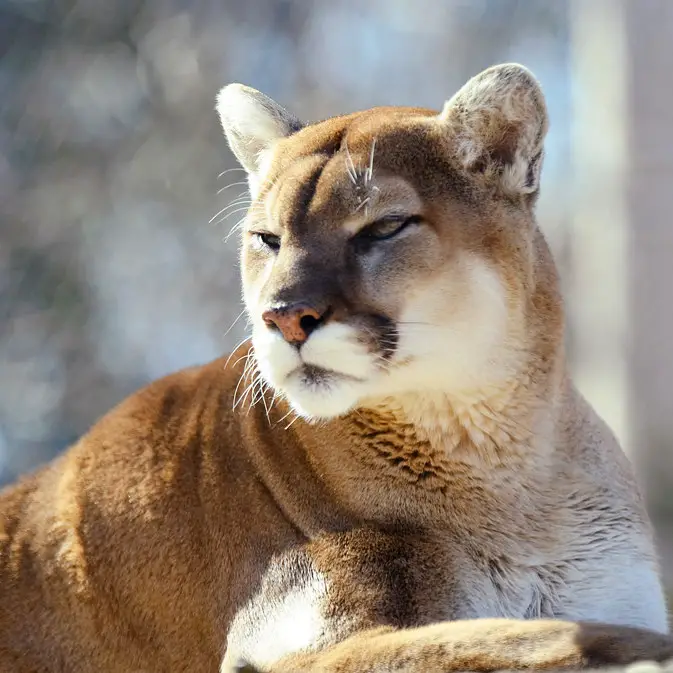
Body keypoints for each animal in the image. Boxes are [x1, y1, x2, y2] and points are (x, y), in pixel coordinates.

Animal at [1, 64, 672, 672]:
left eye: (384, 227)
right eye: (267, 239)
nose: (284, 316)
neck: (509, 469)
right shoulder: (300, 647)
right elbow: (528, 638)